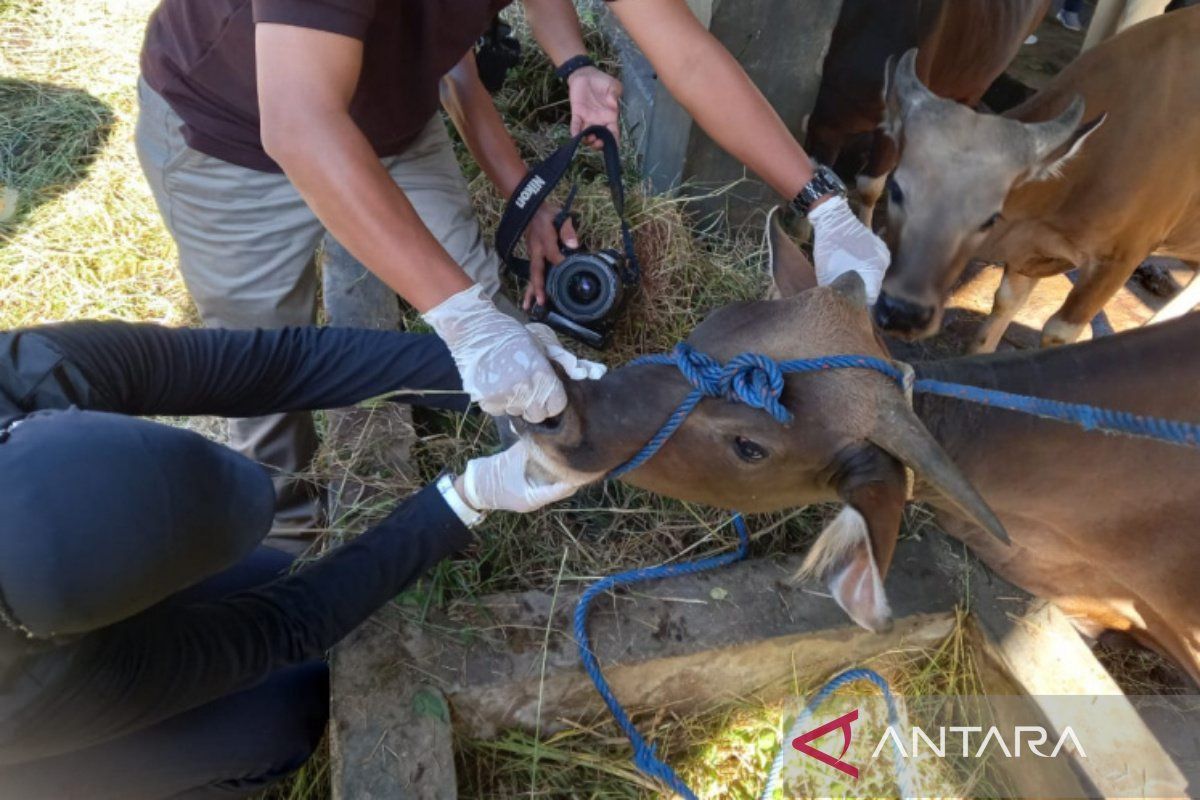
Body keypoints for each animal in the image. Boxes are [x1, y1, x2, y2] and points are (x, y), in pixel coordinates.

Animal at [873, 7, 1200, 347]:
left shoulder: (1121, 257)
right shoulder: (1029, 252)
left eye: (991, 218)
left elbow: (1058, 333)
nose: (902, 313)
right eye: (895, 189)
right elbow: (1004, 303)